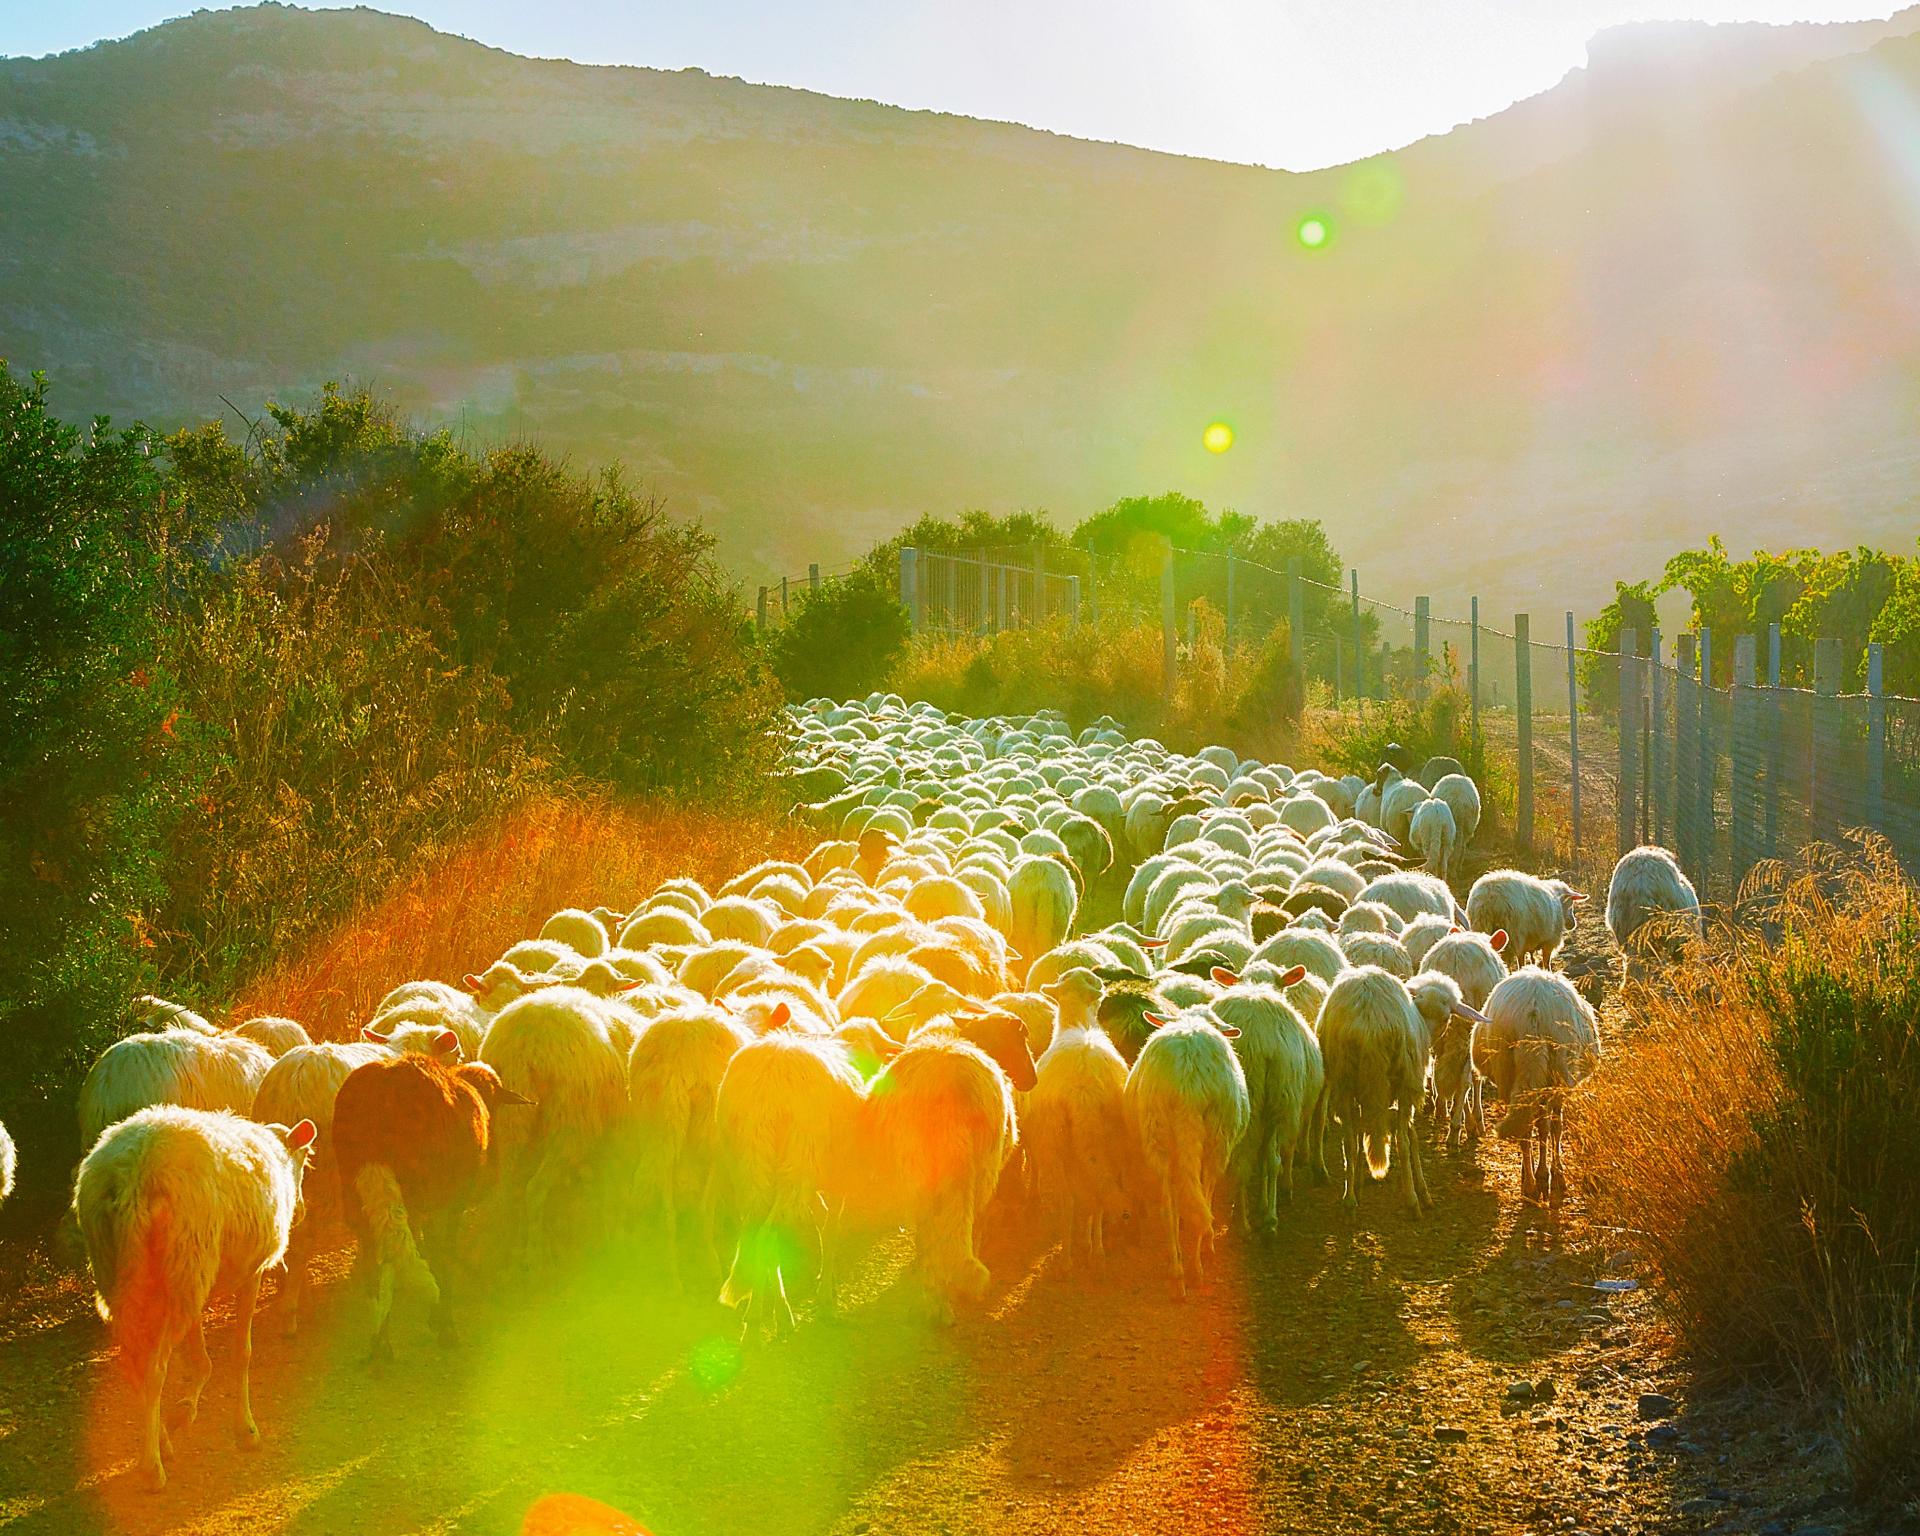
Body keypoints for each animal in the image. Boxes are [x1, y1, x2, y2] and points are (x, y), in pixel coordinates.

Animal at [72, 1105, 314, 1489]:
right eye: (304, 1159)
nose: (302, 1211)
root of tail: (134, 1169)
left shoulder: (195, 1283)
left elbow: (198, 1357)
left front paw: (183, 1412)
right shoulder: (251, 1272)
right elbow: (241, 1353)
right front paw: (245, 1430)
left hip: (134, 1269)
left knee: (133, 1364)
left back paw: (162, 1443)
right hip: (184, 1257)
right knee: (153, 1368)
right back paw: (152, 1468)